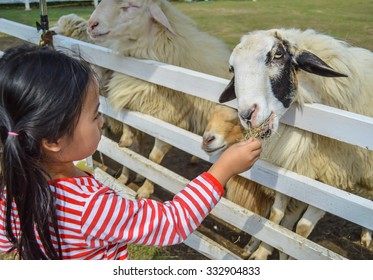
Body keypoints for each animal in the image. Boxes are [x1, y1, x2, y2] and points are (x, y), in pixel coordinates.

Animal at [86, 0, 232, 199]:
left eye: (131, 6)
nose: (91, 25)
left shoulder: (169, 123)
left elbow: (153, 161)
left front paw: (145, 189)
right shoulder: (136, 107)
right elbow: (130, 149)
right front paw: (126, 166)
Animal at [218, 27, 372, 260]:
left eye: (278, 55)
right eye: (232, 68)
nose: (247, 115)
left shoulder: (332, 183)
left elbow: (302, 229)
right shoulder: (293, 170)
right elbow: (277, 216)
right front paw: (264, 251)